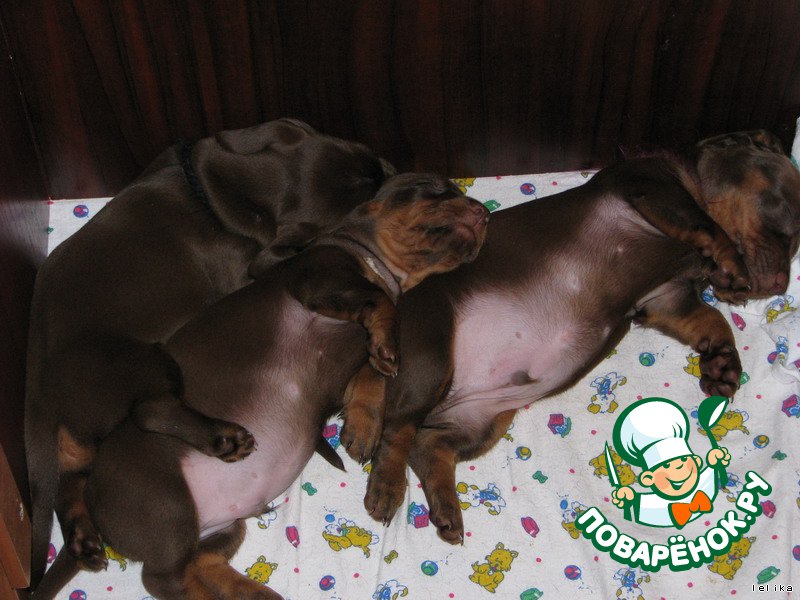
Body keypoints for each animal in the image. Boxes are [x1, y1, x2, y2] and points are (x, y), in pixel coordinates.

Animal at [25, 118, 394, 585]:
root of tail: (39, 392)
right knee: (150, 411)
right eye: (367, 196)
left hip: (79, 444)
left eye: (370, 159)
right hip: (148, 360)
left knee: (68, 485)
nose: (394, 168)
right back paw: (223, 439)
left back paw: (84, 542)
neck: (218, 198)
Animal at [35, 173, 489, 600]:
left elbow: (373, 373)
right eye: (431, 187)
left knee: (200, 564)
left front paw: (363, 424)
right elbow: (380, 302)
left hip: (220, 528)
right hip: (166, 500)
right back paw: (222, 444)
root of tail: (94, 504)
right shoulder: (321, 282)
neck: (380, 264)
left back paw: (252, 592)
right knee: (162, 576)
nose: (482, 211)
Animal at [356, 130, 800, 544]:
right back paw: (387, 489)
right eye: (786, 215)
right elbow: (708, 227)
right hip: (430, 361)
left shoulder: (667, 299)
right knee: (397, 431)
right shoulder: (653, 189)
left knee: (428, 446)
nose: (777, 285)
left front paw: (724, 365)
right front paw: (733, 267)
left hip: (481, 420)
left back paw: (448, 509)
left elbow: (713, 322)